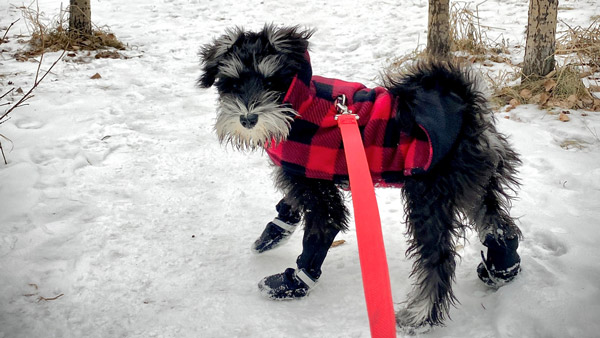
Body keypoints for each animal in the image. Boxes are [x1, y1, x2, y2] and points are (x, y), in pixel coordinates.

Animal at [199, 25, 524, 332]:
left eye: (271, 82)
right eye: (232, 83)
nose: (248, 119)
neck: (299, 106)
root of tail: (467, 110)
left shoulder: (321, 197)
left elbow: (317, 235)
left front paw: (294, 282)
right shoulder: (303, 176)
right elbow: (290, 201)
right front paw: (273, 233)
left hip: (429, 199)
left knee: (439, 259)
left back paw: (420, 316)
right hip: (479, 186)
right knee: (499, 228)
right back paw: (501, 271)